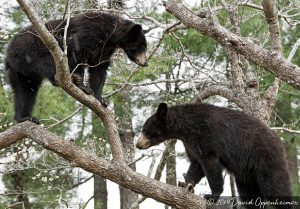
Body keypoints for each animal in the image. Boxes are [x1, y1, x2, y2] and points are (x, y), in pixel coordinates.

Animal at [5, 11, 148, 124]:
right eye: (141, 46)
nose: (145, 63)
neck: (111, 35)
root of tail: (8, 51)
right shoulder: (91, 32)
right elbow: (78, 52)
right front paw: (83, 86)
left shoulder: (105, 49)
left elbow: (99, 68)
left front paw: (100, 98)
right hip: (34, 51)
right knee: (48, 64)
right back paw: (67, 78)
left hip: (20, 71)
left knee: (25, 90)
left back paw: (24, 117)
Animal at [137, 103, 292, 209]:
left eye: (145, 129)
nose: (138, 144)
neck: (186, 128)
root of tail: (280, 142)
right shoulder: (191, 143)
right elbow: (196, 164)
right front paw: (187, 184)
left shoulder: (206, 137)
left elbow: (211, 165)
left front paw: (212, 196)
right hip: (246, 173)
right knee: (248, 193)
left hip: (265, 158)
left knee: (276, 186)